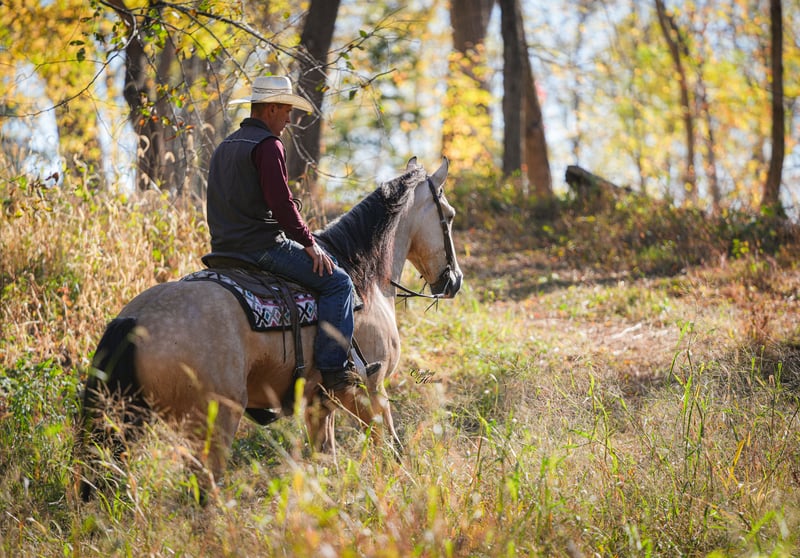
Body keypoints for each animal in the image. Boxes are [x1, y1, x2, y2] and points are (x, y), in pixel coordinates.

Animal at [77, 156, 462, 499]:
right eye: (449, 216)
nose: (454, 281)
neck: (362, 279)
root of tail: (136, 319)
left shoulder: (320, 402)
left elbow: (326, 459)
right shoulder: (371, 388)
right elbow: (391, 447)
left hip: (129, 419)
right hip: (213, 422)